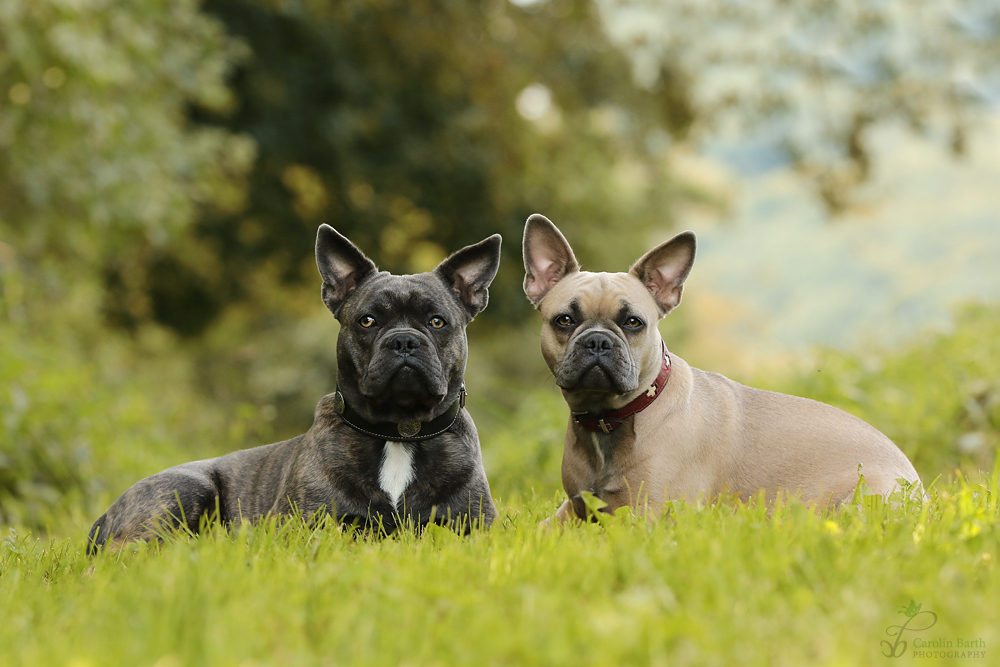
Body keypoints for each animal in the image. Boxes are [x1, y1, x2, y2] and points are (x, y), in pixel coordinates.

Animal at [88, 226, 500, 552]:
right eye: (367, 321)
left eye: (437, 322)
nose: (403, 341)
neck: (399, 431)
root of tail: (105, 517)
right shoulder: (304, 527)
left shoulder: (473, 526)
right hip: (184, 491)